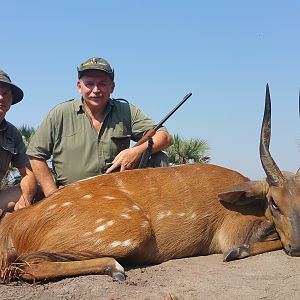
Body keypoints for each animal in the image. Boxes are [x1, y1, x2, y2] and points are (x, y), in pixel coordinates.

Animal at [0, 85, 298, 284]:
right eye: (274, 202)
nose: (297, 246)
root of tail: (12, 226)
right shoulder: (232, 234)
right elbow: (248, 245)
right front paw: (237, 252)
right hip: (132, 229)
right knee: (28, 264)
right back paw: (114, 268)